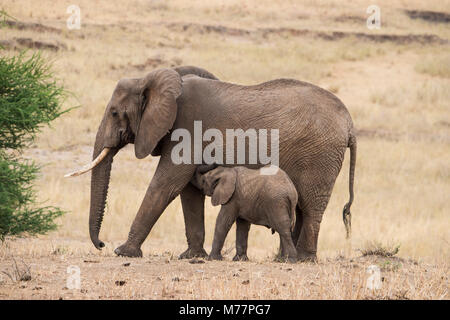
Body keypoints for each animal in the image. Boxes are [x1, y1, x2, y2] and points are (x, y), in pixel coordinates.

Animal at [66, 64, 356, 260]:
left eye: (115, 113)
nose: (101, 244)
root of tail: (349, 123)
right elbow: (188, 192)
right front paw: (192, 257)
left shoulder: (187, 129)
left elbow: (166, 185)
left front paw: (124, 252)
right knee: (300, 207)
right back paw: (284, 259)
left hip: (320, 156)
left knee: (311, 207)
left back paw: (304, 260)